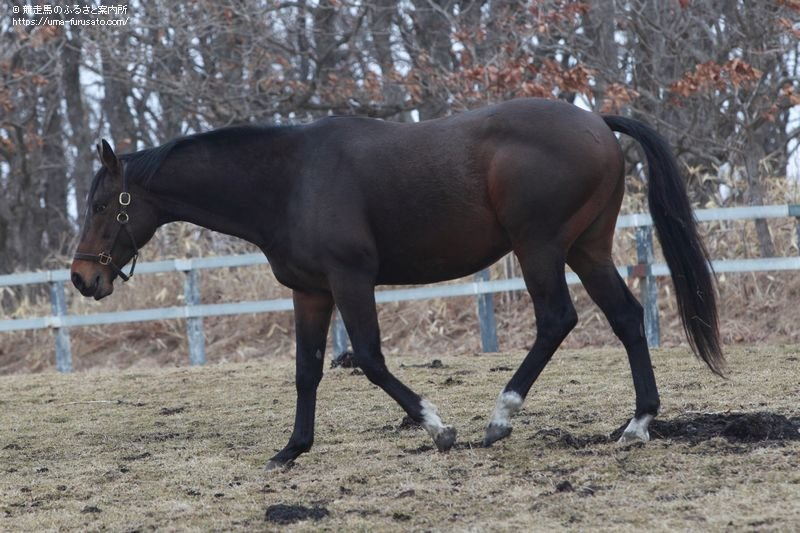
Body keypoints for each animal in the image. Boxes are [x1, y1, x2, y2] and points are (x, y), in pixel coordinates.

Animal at [70, 97, 724, 468]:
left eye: (103, 204)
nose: (81, 277)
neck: (290, 180)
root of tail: (594, 120)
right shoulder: (311, 290)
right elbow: (307, 370)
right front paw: (292, 450)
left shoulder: (351, 280)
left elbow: (368, 358)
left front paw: (438, 427)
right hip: (586, 249)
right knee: (627, 317)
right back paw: (637, 425)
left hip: (540, 248)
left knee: (556, 320)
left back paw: (500, 418)